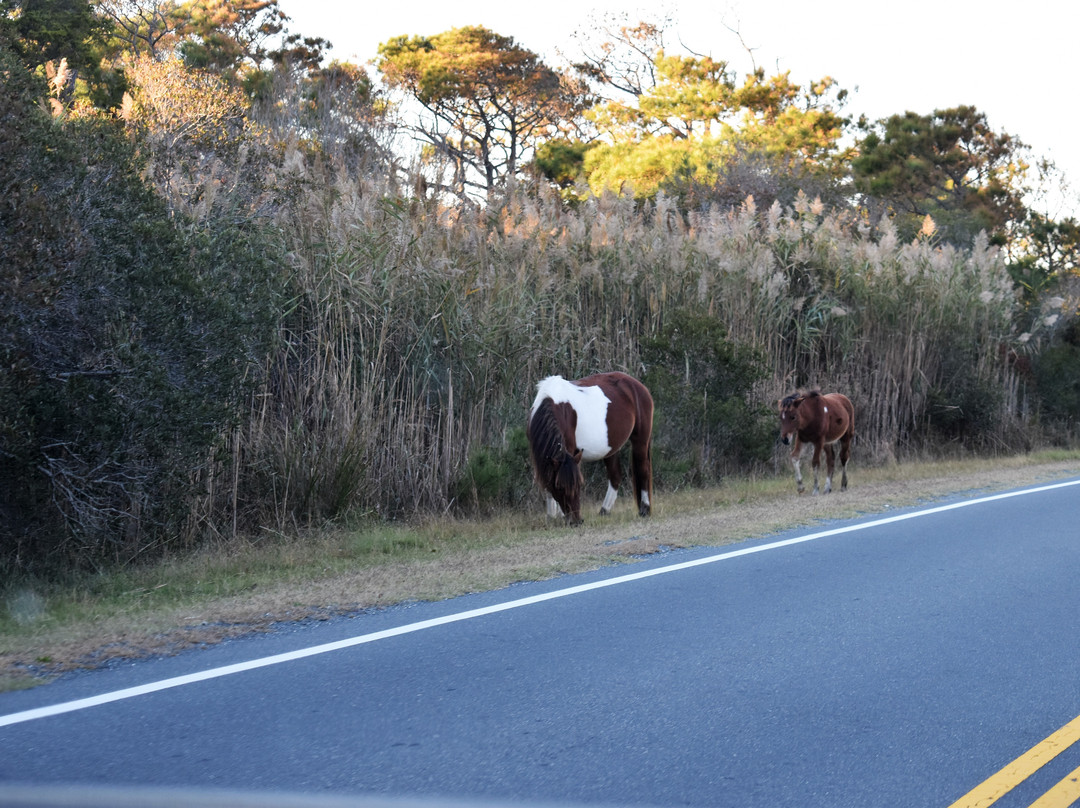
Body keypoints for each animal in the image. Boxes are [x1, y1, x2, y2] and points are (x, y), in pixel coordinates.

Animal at [527, 371, 652, 524]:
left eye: (579, 485)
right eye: (560, 487)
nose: (576, 521)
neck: (554, 405)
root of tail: (638, 385)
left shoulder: (570, 450)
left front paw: (560, 517)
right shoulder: (539, 456)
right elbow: (547, 484)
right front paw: (551, 517)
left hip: (640, 441)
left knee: (643, 471)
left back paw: (645, 509)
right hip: (611, 449)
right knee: (615, 476)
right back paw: (604, 510)